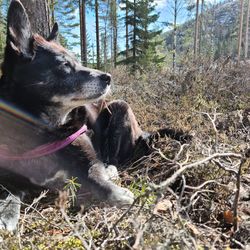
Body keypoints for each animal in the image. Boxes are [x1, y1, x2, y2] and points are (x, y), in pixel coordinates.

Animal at [0, 0, 190, 231]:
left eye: (77, 61)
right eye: (65, 65)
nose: (108, 77)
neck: (44, 130)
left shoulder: (91, 164)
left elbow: (100, 183)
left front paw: (122, 194)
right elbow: (7, 192)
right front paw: (6, 213)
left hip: (120, 108)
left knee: (116, 160)